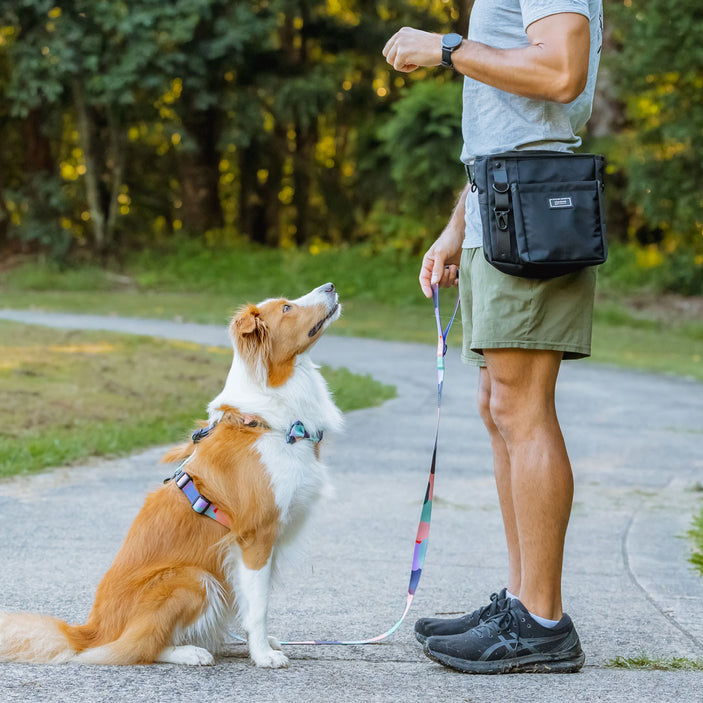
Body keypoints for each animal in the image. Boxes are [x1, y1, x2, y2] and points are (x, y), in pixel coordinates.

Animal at [0, 284, 342, 668]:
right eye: (286, 308)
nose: (330, 286)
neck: (269, 423)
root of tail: (89, 631)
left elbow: (252, 601)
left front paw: (262, 644)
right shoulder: (255, 537)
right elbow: (258, 607)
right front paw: (263, 655)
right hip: (192, 577)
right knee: (136, 646)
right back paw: (190, 652)